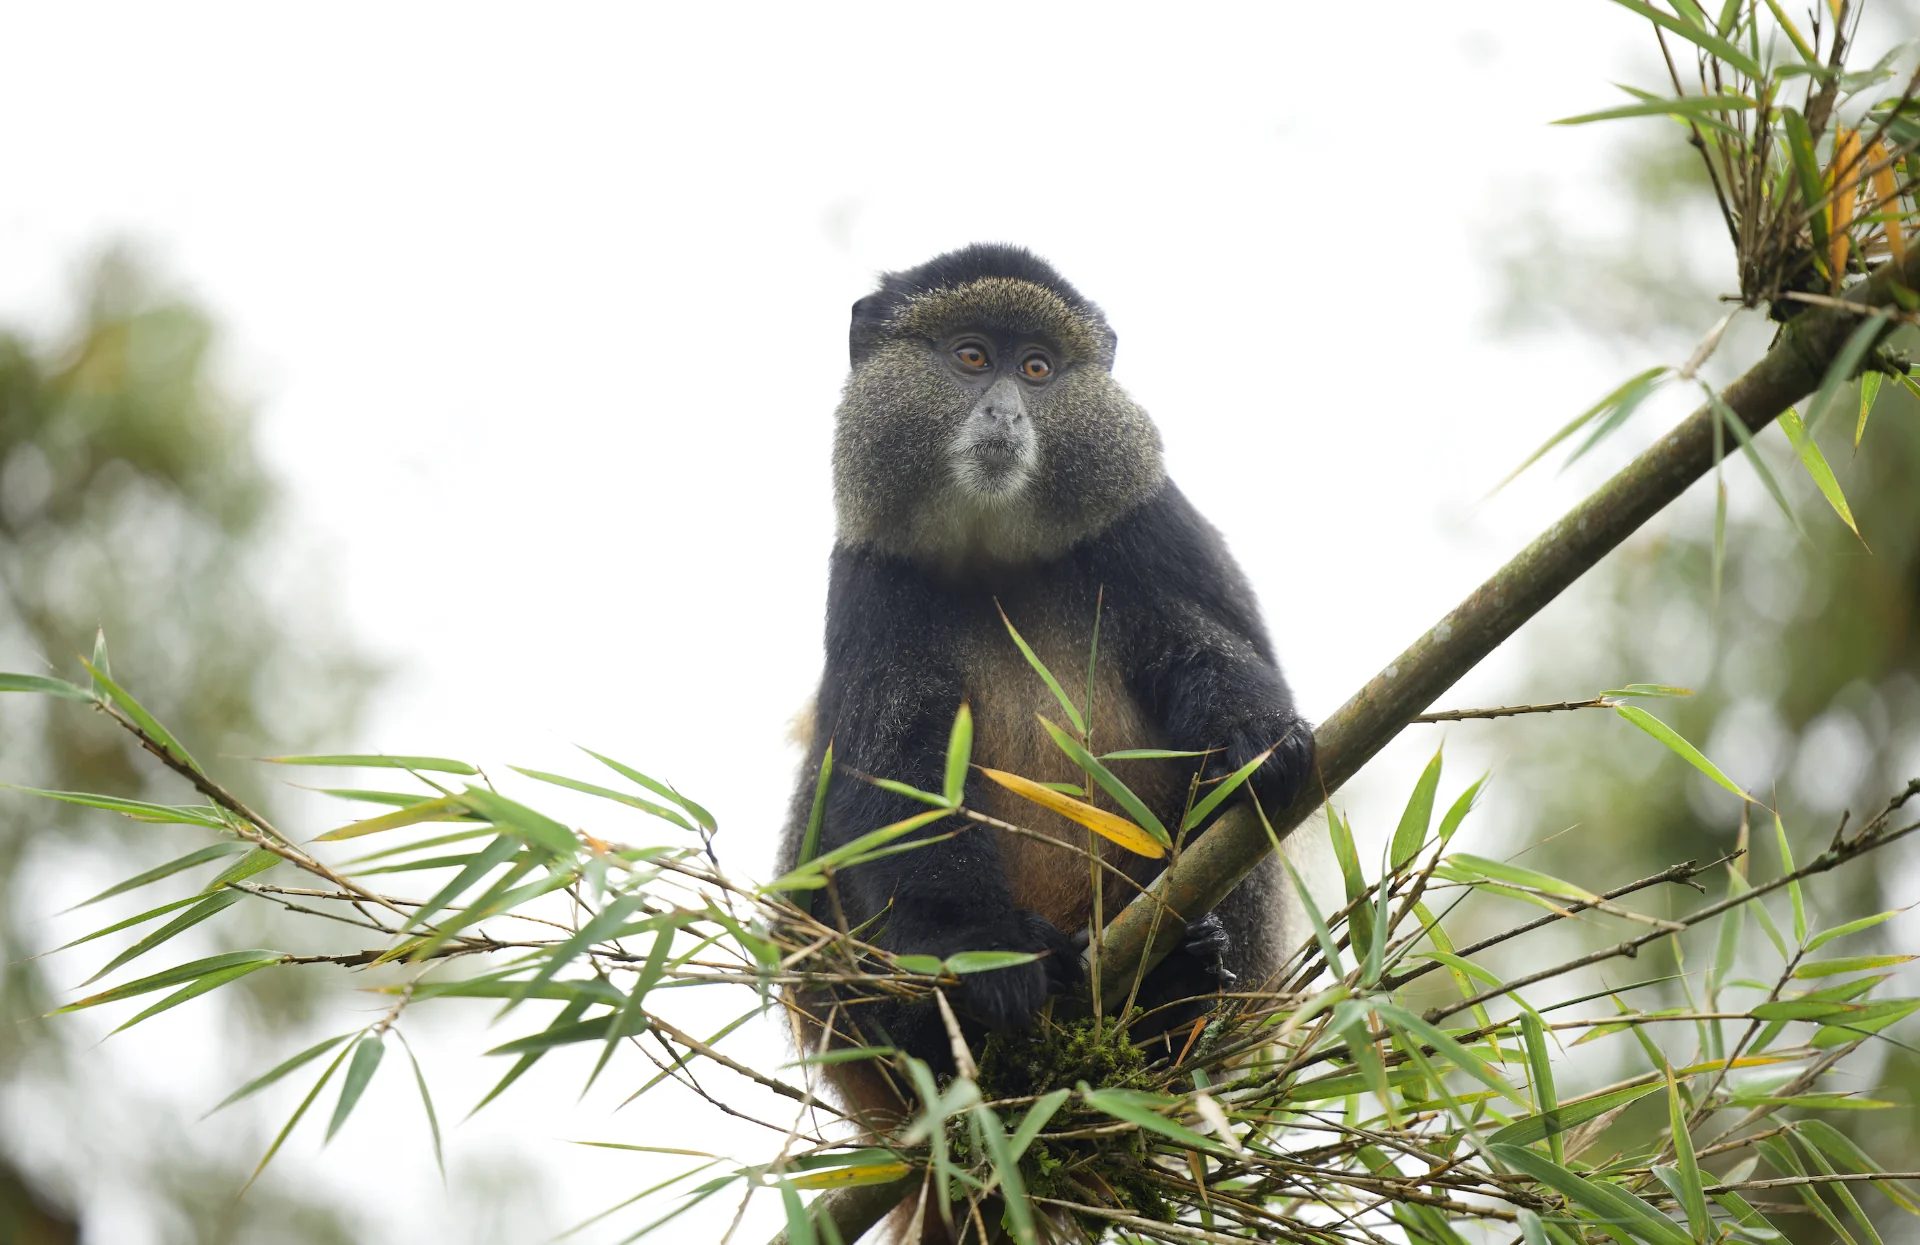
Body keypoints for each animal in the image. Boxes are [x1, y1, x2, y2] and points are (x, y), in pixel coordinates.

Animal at [776, 243, 1314, 1133]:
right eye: (970, 357)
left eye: (1036, 367)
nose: (1005, 412)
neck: (995, 548)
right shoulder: (870, 575)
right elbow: (887, 769)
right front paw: (984, 951)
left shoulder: (1147, 525)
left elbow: (1204, 653)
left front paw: (1256, 734)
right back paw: (929, 1033)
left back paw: (1175, 987)